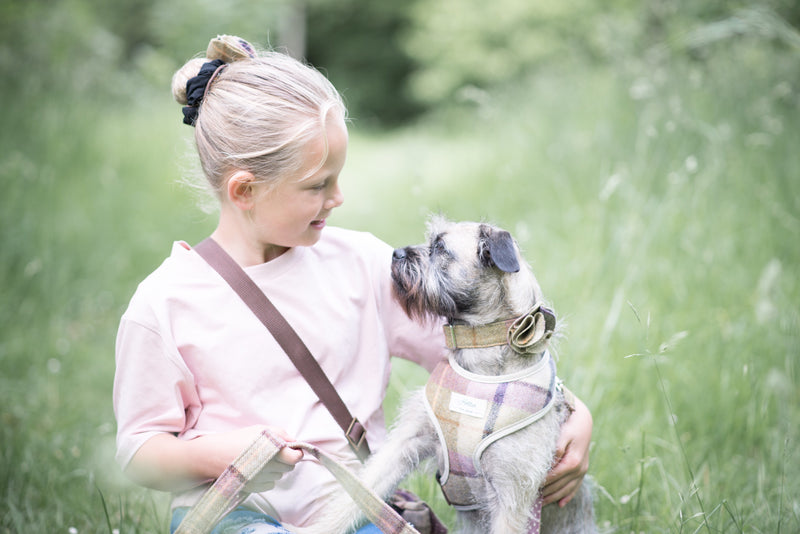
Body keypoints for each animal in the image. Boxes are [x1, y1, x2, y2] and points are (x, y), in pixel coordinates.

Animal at [304, 219, 596, 534]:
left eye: (441, 248)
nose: (395, 253)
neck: (478, 363)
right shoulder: (405, 443)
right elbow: (356, 494)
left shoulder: (512, 495)